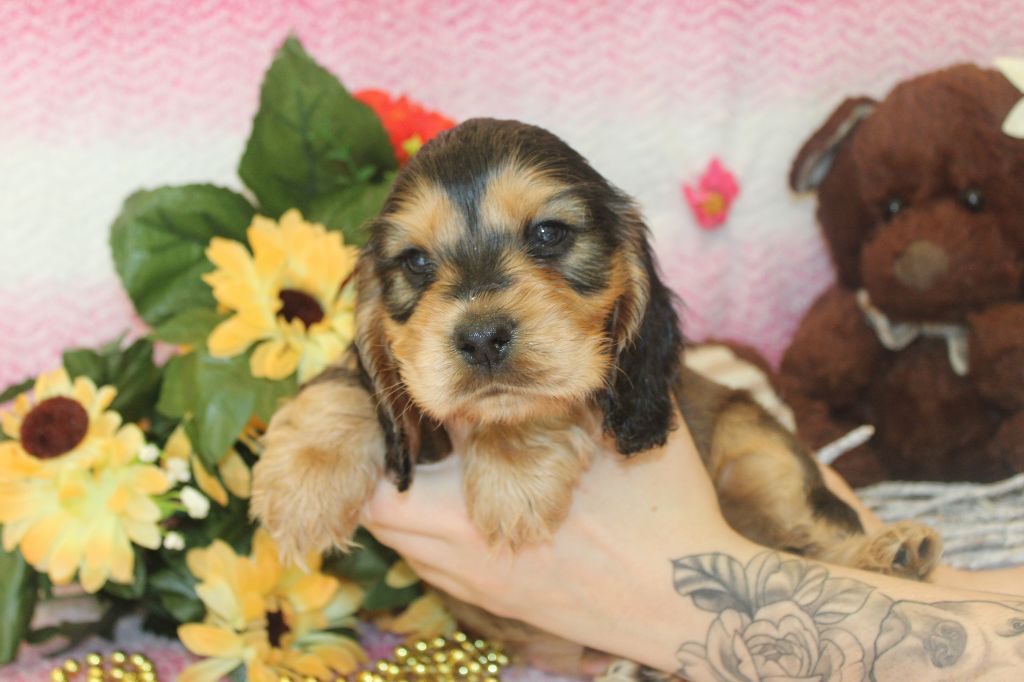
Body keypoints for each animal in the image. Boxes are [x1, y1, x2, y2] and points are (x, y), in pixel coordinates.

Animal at [250, 118, 941, 674]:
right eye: (416, 263)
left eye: (549, 233)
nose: (481, 338)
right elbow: (347, 380)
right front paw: (300, 482)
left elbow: (543, 402)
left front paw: (512, 476)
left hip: (756, 450)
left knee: (807, 537)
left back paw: (892, 553)